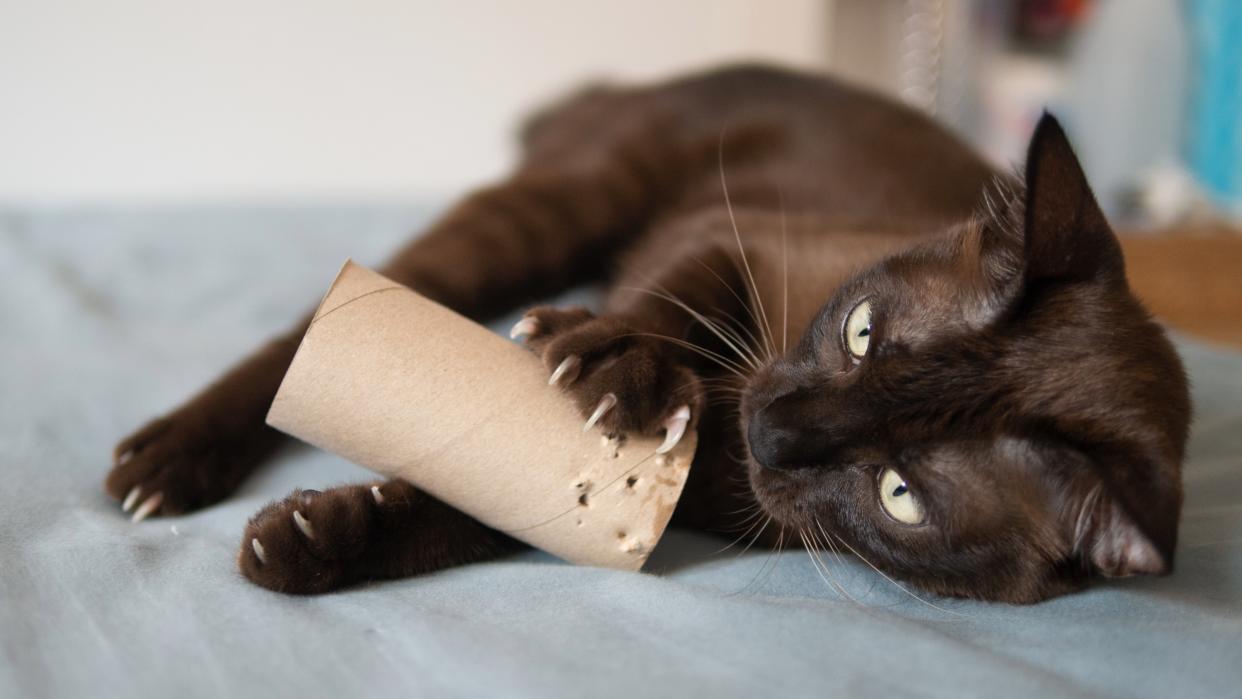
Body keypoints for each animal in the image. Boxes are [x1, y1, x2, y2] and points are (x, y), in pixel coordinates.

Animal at [106, 64, 1192, 600]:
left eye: (902, 494)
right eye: (861, 332)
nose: (771, 432)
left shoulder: (696, 497)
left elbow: (489, 508)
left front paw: (315, 542)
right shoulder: (732, 238)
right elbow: (661, 310)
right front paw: (618, 365)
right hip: (557, 211)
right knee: (310, 331)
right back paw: (164, 464)